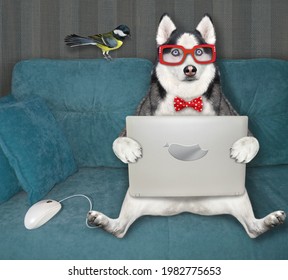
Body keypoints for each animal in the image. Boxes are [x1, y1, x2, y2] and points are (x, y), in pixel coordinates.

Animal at [88, 14, 286, 237]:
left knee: (252, 229)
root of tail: (186, 204)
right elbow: (119, 140)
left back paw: (270, 220)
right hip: (134, 196)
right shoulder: (135, 118)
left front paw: (242, 150)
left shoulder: (235, 116)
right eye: (175, 52)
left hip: (238, 195)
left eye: (199, 52)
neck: (187, 99)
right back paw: (102, 221)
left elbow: (252, 139)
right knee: (119, 230)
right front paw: (129, 150)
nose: (190, 68)